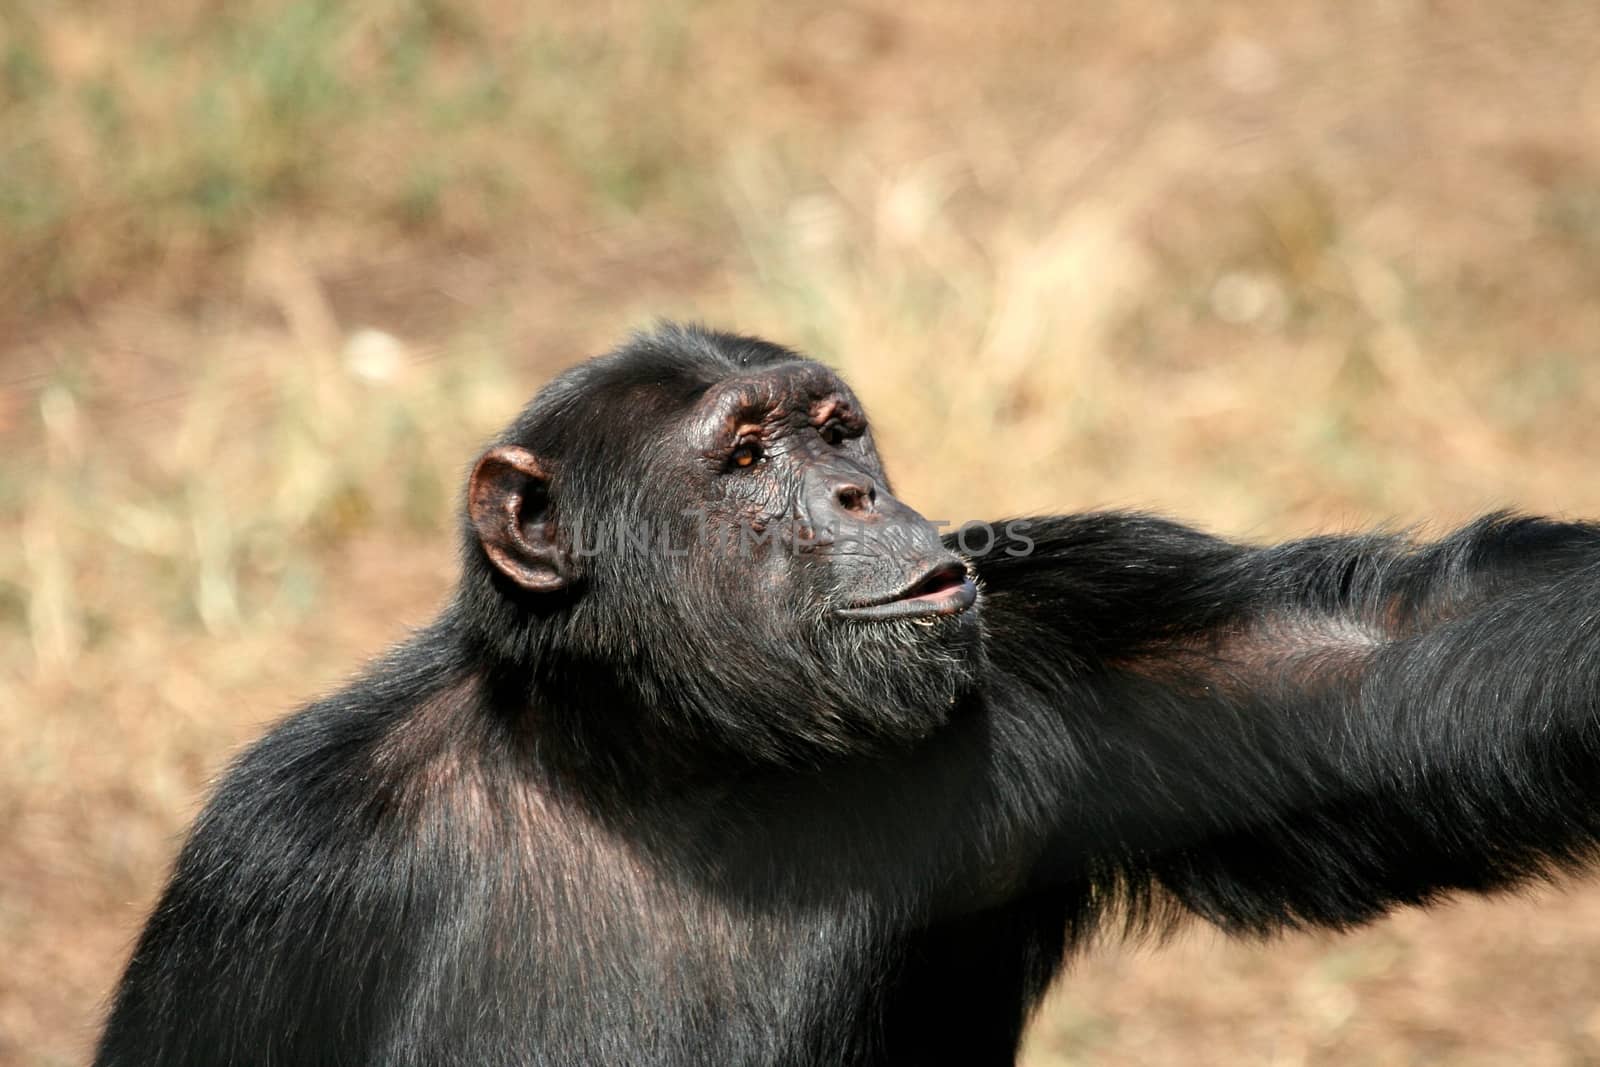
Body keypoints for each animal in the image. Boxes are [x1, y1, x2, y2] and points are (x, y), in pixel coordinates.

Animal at [100, 323, 1600, 1067]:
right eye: (743, 454)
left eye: (838, 429)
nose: (854, 494)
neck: (664, 763)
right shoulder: (282, 859)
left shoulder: (1063, 640)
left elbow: (1371, 651)